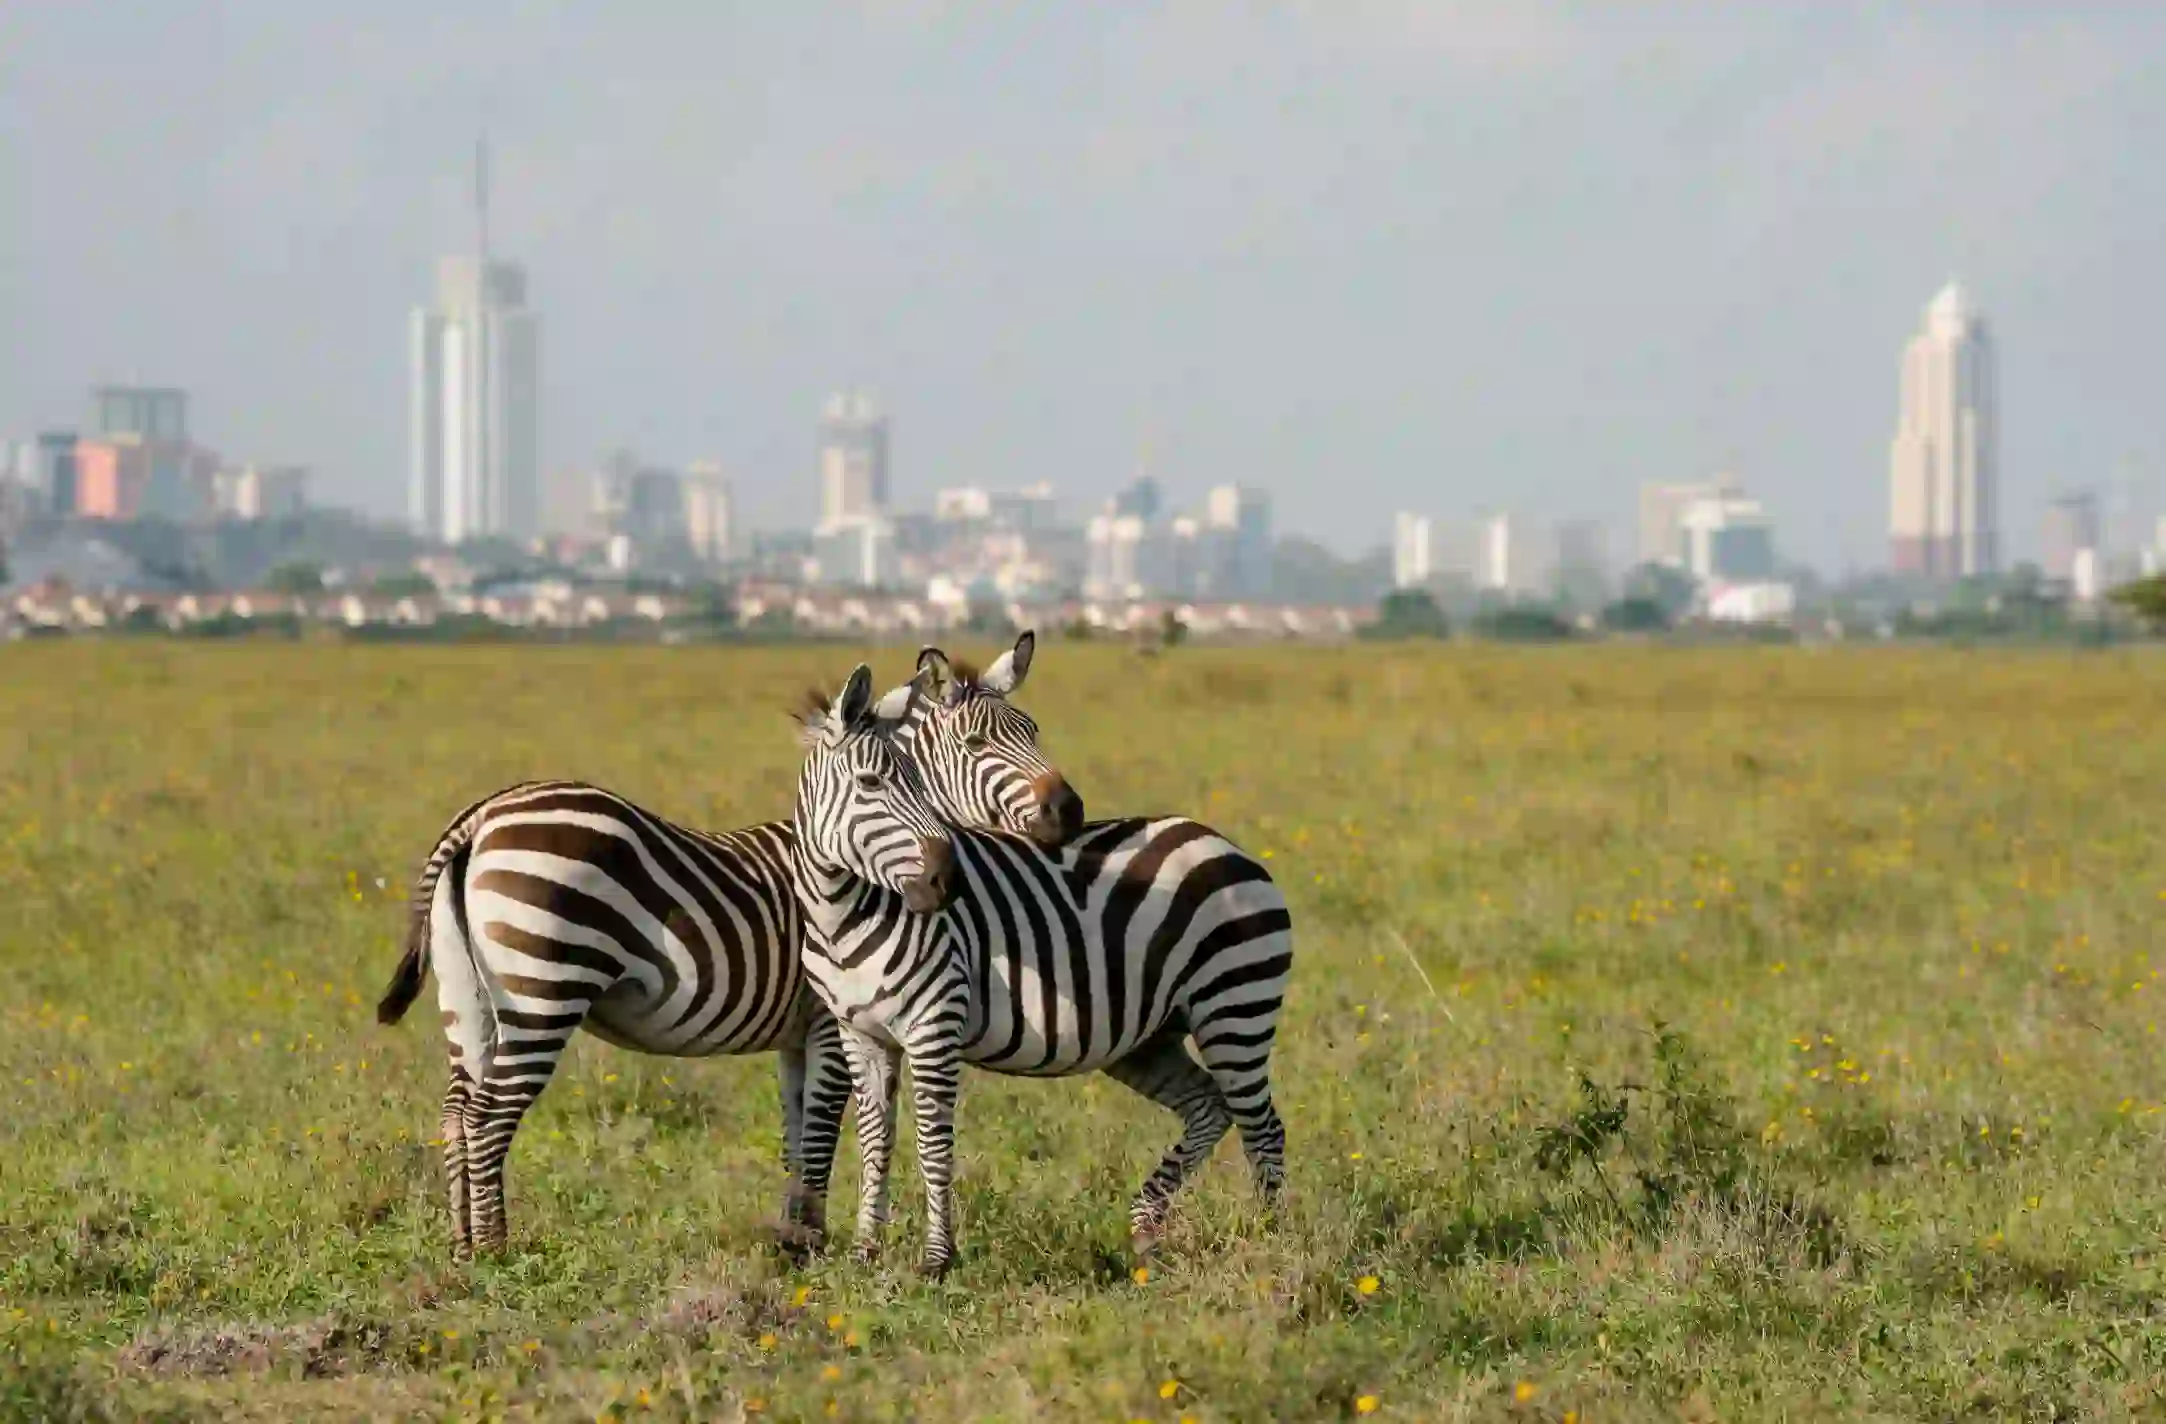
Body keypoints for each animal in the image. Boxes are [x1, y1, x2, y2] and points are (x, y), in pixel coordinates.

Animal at [373, 648, 1071, 1261]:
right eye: (976, 745)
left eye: (1035, 731)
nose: (1070, 810)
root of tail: (480, 818)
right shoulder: (828, 1021)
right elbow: (822, 1131)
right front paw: (810, 1242)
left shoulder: (797, 1035)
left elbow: (797, 1134)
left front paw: (793, 1239)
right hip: (543, 992)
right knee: (489, 1116)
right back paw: (496, 1250)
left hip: (469, 998)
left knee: (457, 1111)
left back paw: (462, 1245)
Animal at [794, 660, 1294, 1277]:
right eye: (871, 784)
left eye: (917, 784)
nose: (947, 881)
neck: (843, 913)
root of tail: (1227, 845)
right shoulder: (859, 1033)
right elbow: (873, 1141)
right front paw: (865, 1252)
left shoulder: (934, 1026)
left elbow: (933, 1143)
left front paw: (937, 1260)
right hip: (1148, 1039)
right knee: (1210, 1106)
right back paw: (1146, 1227)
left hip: (1235, 1009)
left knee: (1263, 1128)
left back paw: (1270, 1241)